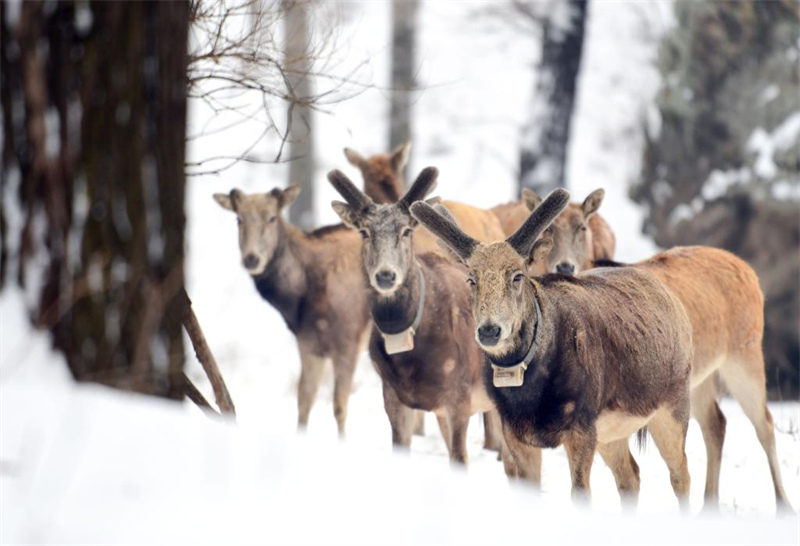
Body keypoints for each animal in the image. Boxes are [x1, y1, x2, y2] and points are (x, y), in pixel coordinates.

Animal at [214, 185, 374, 436]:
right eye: (238, 219)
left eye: (272, 218)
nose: (251, 259)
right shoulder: (308, 342)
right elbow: (304, 400)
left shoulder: (349, 340)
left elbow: (339, 406)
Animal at [328, 166, 516, 468]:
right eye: (364, 232)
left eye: (406, 230)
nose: (385, 276)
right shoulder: (393, 396)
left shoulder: (460, 397)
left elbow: (460, 458)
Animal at [412, 190, 692, 506]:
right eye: (471, 278)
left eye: (518, 275)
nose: (489, 330)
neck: (530, 395)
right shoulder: (514, 431)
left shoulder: (582, 424)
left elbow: (581, 494)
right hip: (612, 431)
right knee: (631, 475)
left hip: (674, 403)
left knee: (681, 474)